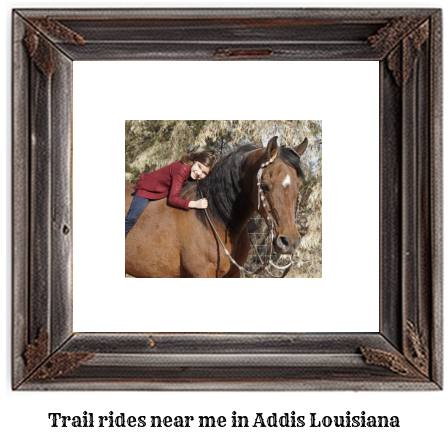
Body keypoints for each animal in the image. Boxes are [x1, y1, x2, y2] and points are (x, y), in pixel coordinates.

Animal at [126, 137, 308, 278]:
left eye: (298, 185)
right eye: (265, 186)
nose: (289, 241)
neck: (213, 218)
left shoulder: (234, 274)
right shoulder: (202, 274)